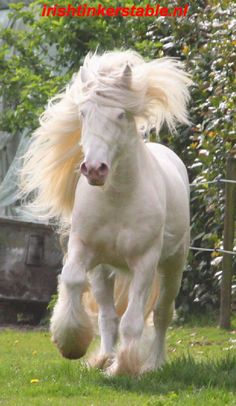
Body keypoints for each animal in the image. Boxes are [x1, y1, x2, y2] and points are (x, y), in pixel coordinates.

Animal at [21, 50, 192, 378]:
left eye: (121, 115)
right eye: (84, 113)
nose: (94, 169)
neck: (118, 200)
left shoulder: (144, 264)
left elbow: (134, 321)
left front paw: (123, 367)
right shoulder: (84, 249)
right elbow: (73, 281)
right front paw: (71, 343)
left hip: (172, 265)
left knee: (161, 313)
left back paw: (153, 363)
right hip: (103, 271)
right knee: (107, 314)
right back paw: (103, 357)